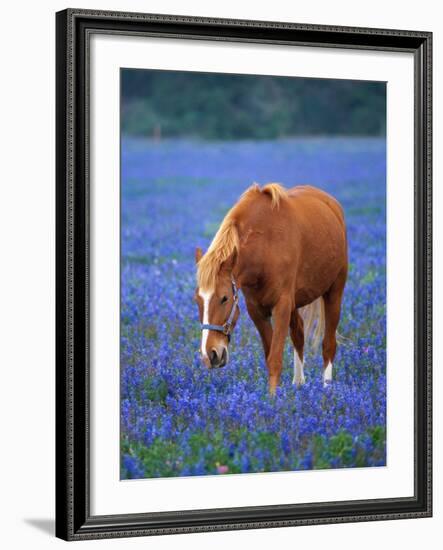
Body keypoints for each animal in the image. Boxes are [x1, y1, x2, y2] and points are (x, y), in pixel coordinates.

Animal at [196, 183, 348, 394]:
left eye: (224, 298)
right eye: (197, 300)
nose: (209, 355)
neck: (264, 248)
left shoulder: (282, 306)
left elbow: (275, 359)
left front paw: (272, 399)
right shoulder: (257, 310)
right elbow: (270, 356)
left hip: (334, 292)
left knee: (328, 345)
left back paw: (327, 390)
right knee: (299, 334)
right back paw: (299, 384)